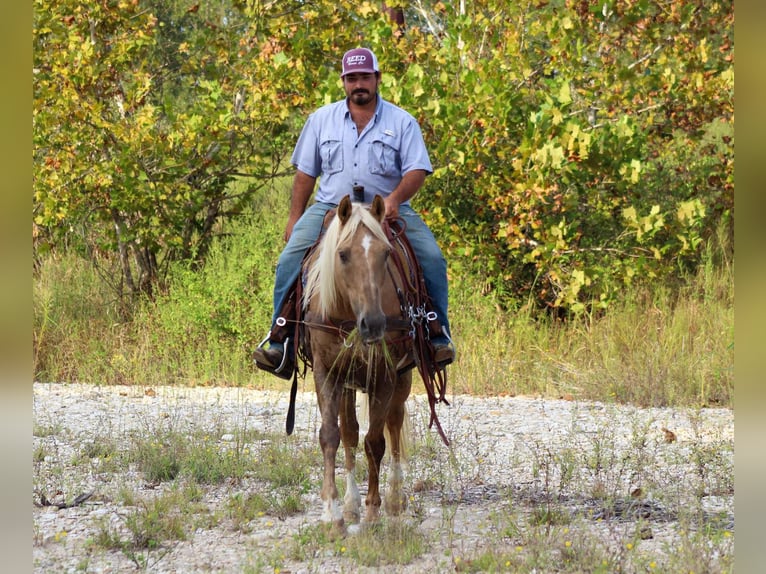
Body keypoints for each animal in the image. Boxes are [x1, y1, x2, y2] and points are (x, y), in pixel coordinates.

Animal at [300, 194, 416, 533]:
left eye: (386, 253)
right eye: (342, 254)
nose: (373, 324)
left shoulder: (385, 375)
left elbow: (375, 442)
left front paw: (373, 510)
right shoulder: (327, 373)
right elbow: (331, 435)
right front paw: (333, 512)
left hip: (402, 380)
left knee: (394, 425)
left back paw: (394, 497)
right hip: (349, 383)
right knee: (350, 432)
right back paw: (351, 503)